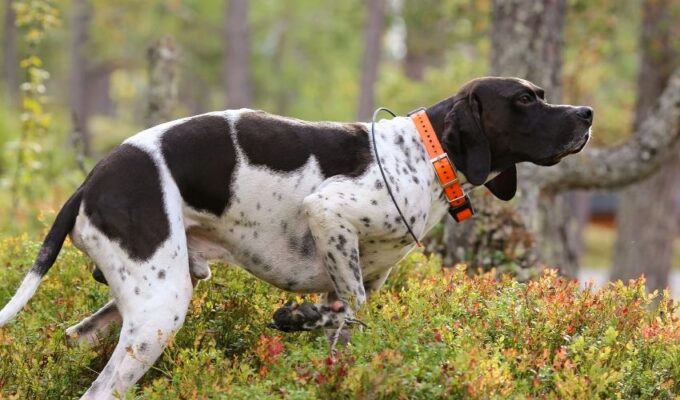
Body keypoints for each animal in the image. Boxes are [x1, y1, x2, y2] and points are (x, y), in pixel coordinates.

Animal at [0, 76, 592, 398]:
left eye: (540, 95)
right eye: (524, 100)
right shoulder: (328, 212)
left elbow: (346, 321)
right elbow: (349, 308)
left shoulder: (354, 273)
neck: (424, 155)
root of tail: (89, 182)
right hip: (160, 308)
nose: (586, 113)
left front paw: (307, 325)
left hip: (152, 290)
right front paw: (296, 316)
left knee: (78, 334)